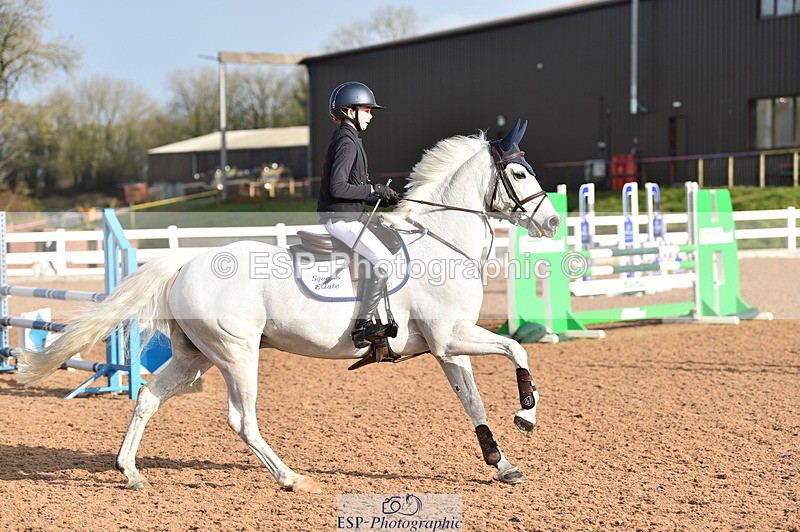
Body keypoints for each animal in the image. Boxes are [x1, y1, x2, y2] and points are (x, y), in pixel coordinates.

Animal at [17, 119, 561, 493]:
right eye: (517, 172)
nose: (554, 223)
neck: (441, 244)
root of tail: (186, 261)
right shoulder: (452, 337)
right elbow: (517, 349)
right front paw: (527, 417)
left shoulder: (447, 346)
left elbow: (474, 400)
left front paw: (503, 464)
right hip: (237, 354)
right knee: (242, 420)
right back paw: (292, 479)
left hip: (195, 358)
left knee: (149, 397)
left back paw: (130, 472)